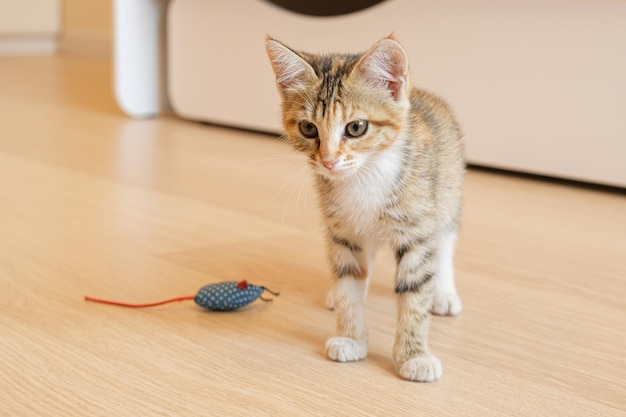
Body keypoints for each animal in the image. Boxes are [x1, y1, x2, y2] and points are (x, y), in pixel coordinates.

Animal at [264, 35, 464, 380]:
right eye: (308, 129)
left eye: (356, 127)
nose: (328, 161)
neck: (364, 176)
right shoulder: (342, 231)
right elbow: (349, 283)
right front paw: (350, 337)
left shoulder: (416, 229)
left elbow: (415, 292)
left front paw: (414, 355)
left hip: (447, 195)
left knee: (444, 243)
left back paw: (444, 294)